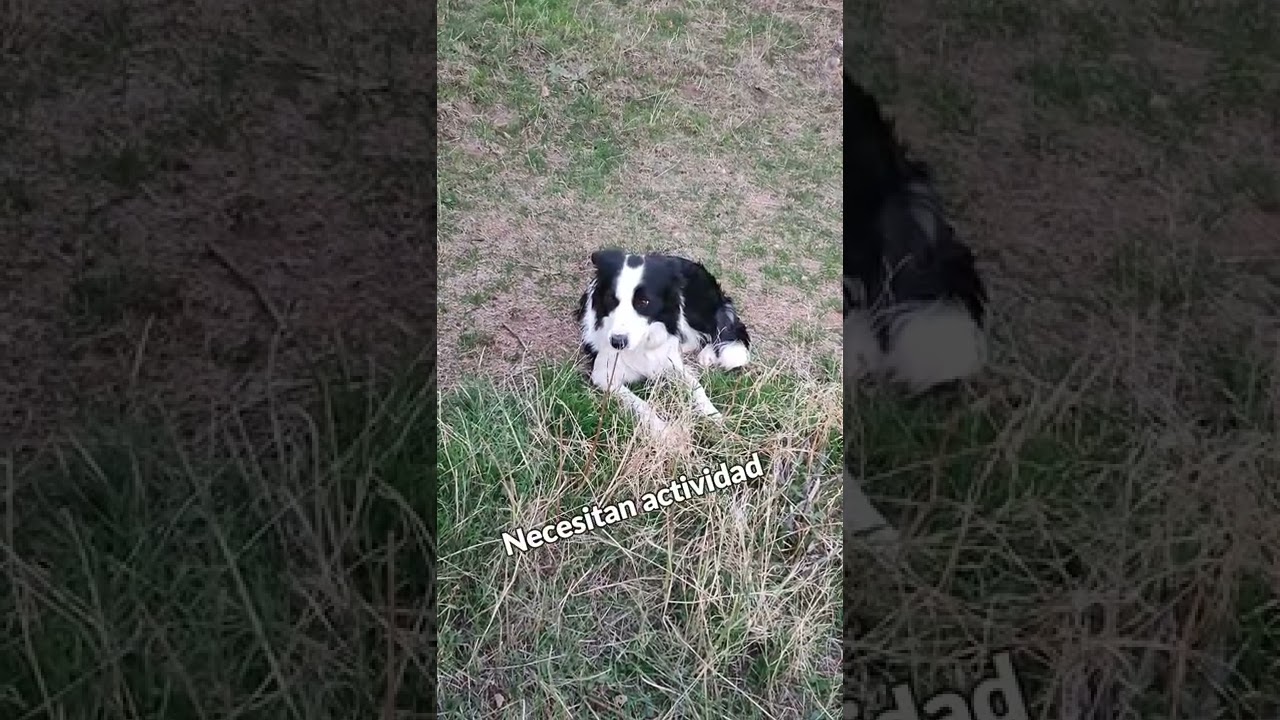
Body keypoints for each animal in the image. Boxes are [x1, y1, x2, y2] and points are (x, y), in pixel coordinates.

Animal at [578, 249, 747, 430]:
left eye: (644, 301)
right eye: (611, 299)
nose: (617, 342)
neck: (643, 342)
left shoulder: (671, 362)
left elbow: (696, 385)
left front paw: (713, 414)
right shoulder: (603, 375)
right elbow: (642, 405)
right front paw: (663, 430)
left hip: (689, 311)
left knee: (713, 328)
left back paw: (706, 355)